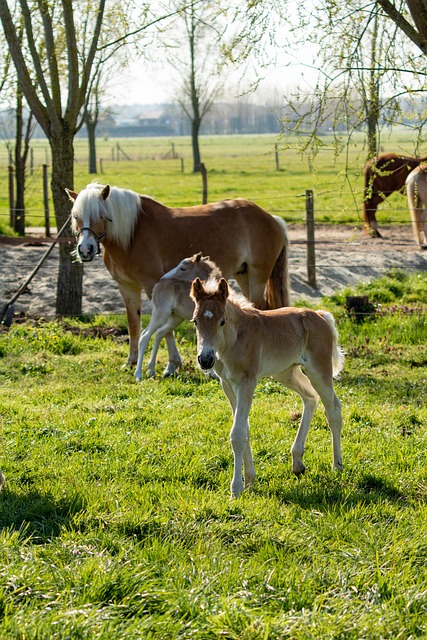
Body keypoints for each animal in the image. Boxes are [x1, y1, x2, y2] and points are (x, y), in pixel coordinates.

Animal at [135, 251, 222, 380]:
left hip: (176, 318)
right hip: (161, 313)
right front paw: (211, 372)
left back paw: (151, 370)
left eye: (183, 268)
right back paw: (138, 374)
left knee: (160, 333)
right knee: (145, 336)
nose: (163, 277)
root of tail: (157, 286)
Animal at [192, 278, 346, 498]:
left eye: (222, 321)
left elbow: (238, 433)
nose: (205, 359)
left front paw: (236, 490)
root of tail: (320, 316)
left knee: (333, 409)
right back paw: (297, 462)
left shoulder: (247, 382)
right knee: (310, 398)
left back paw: (337, 465)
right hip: (285, 373)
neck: (234, 340)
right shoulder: (227, 384)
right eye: (195, 321)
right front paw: (249, 482)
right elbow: (244, 428)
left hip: (318, 370)